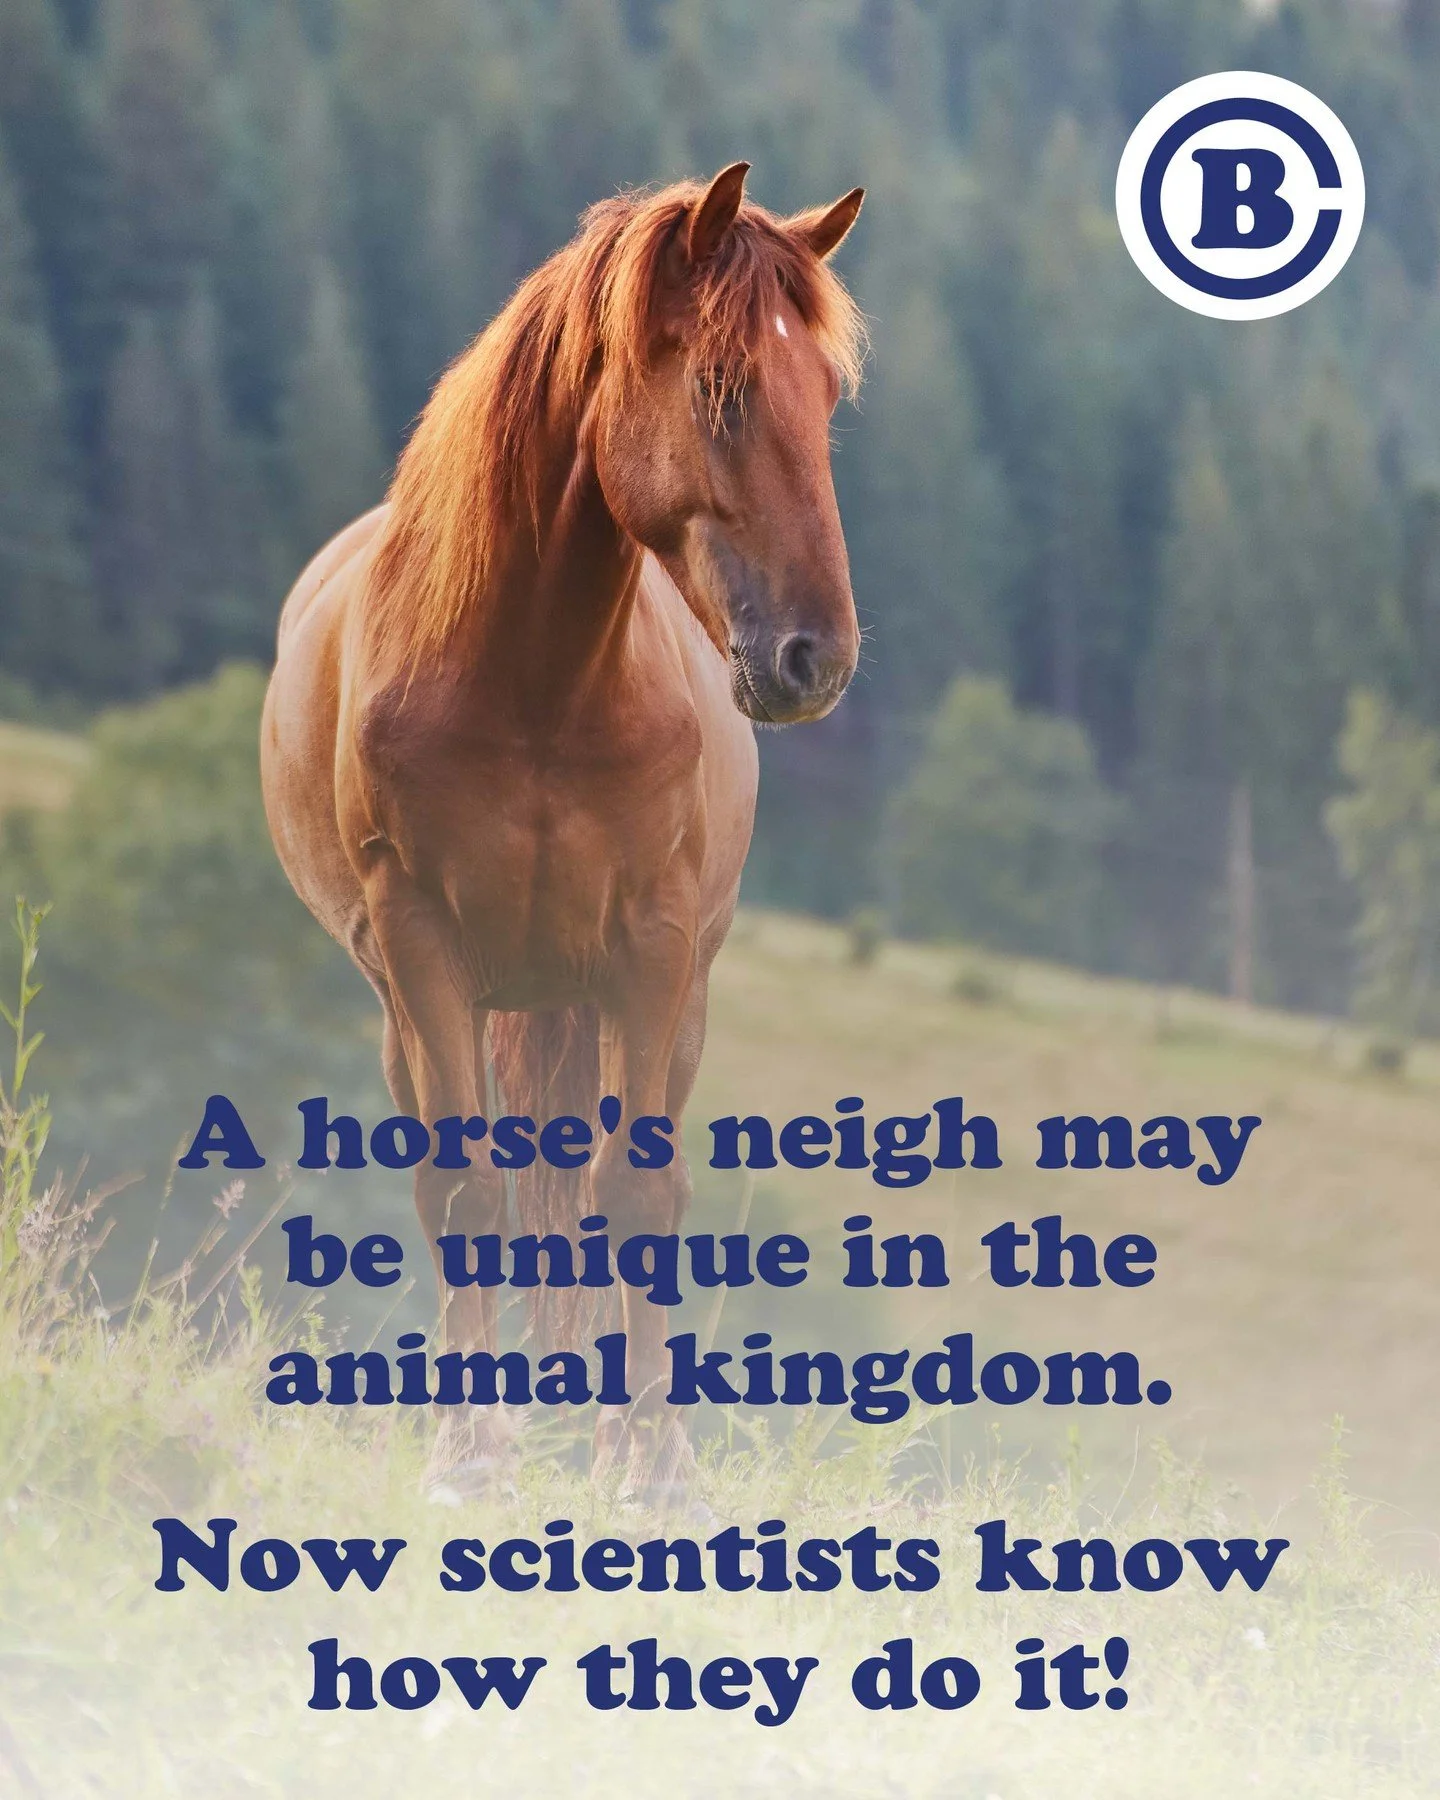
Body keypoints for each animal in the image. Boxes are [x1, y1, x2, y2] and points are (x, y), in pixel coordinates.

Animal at [260, 162, 867, 1497]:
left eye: (830, 398)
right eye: (723, 389)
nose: (819, 659)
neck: (532, 683)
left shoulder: (650, 949)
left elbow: (637, 1200)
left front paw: (650, 1473)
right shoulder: (423, 945)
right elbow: (463, 1194)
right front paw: (468, 1455)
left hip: (657, 1002)